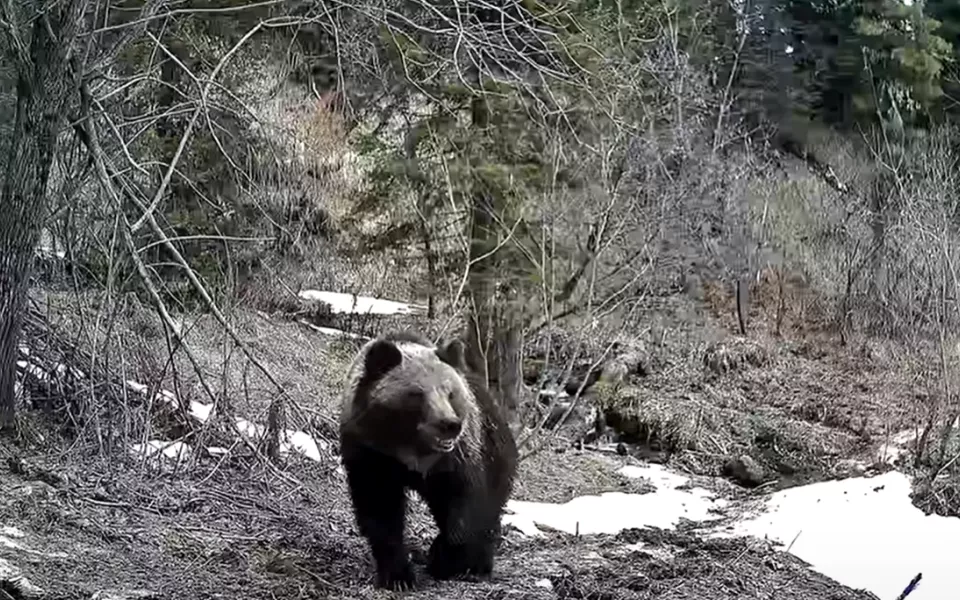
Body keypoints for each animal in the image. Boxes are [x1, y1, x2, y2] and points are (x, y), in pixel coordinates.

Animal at [338, 330, 518, 590]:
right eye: (417, 394)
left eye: (450, 393)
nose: (450, 424)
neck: (411, 451)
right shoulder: (371, 454)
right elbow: (380, 509)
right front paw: (398, 575)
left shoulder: (457, 458)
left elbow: (465, 505)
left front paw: (447, 560)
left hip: (497, 453)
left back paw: (478, 565)